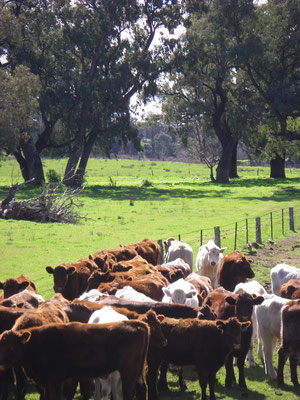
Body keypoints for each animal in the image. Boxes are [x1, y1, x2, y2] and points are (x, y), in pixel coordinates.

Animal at [0, 322, 150, 400]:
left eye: (12, 346)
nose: (1, 363)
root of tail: (137, 324)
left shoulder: (54, 381)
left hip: (128, 372)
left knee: (129, 393)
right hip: (137, 373)